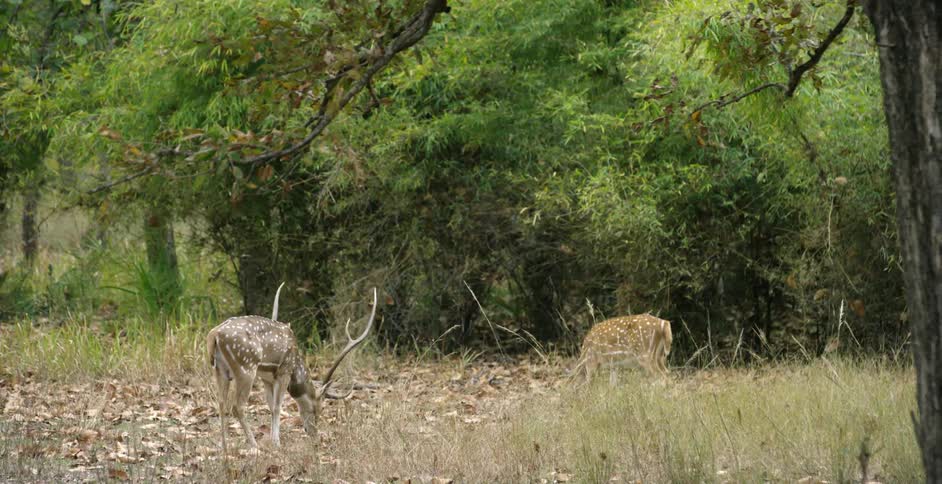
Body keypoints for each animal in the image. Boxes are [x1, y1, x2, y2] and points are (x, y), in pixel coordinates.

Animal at [207, 285, 377, 451]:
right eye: (318, 409)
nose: (313, 433)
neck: (296, 368)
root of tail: (215, 335)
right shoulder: (284, 371)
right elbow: (277, 407)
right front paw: (276, 443)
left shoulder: (267, 377)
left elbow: (270, 406)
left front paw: (273, 440)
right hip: (246, 366)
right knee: (237, 406)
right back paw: (254, 445)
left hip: (220, 369)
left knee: (221, 403)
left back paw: (225, 447)